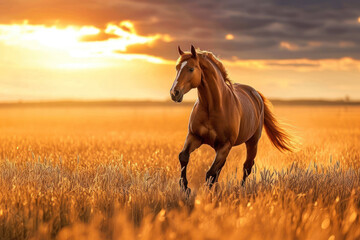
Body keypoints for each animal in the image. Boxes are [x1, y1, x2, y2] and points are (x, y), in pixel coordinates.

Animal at [169, 45, 292, 191]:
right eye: (177, 68)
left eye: (191, 68)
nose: (174, 93)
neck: (213, 106)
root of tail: (256, 94)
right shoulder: (194, 136)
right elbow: (184, 157)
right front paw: (185, 187)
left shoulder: (225, 145)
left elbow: (211, 173)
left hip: (252, 142)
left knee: (247, 166)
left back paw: (242, 188)